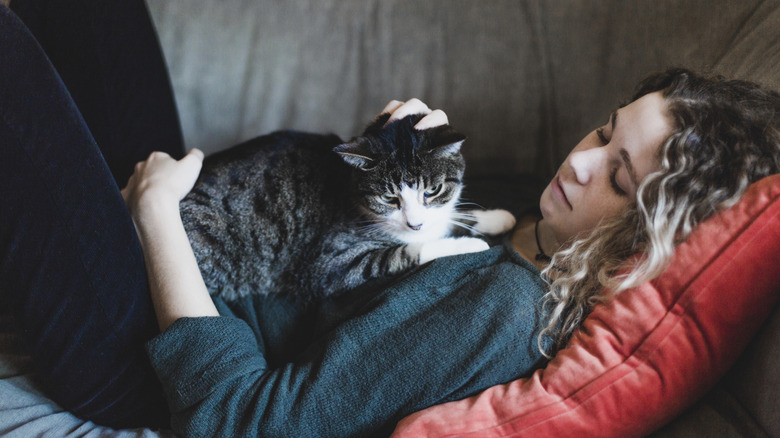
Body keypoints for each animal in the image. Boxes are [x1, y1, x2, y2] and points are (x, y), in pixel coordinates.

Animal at [180, 112, 516, 302]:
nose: (414, 224)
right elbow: (406, 251)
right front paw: (468, 243)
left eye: (432, 191)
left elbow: (452, 215)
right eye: (388, 199)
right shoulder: (328, 266)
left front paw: (497, 217)